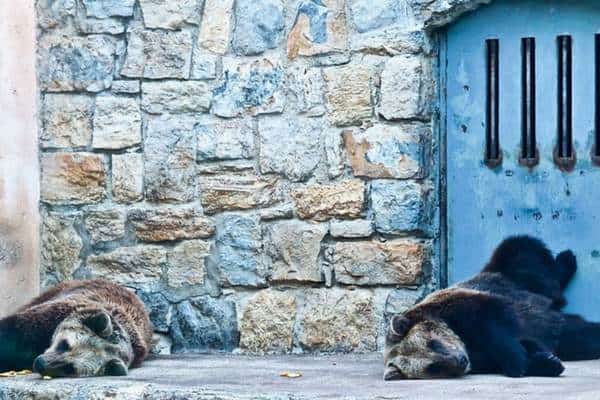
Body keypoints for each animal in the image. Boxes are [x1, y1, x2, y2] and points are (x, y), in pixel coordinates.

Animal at [384, 236, 600, 380]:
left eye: (433, 343)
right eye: (433, 367)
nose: (461, 360)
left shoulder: (461, 306)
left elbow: (494, 326)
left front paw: (518, 361)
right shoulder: (480, 359)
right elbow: (525, 348)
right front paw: (546, 361)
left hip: (509, 276)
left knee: (522, 253)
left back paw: (567, 259)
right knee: (581, 338)